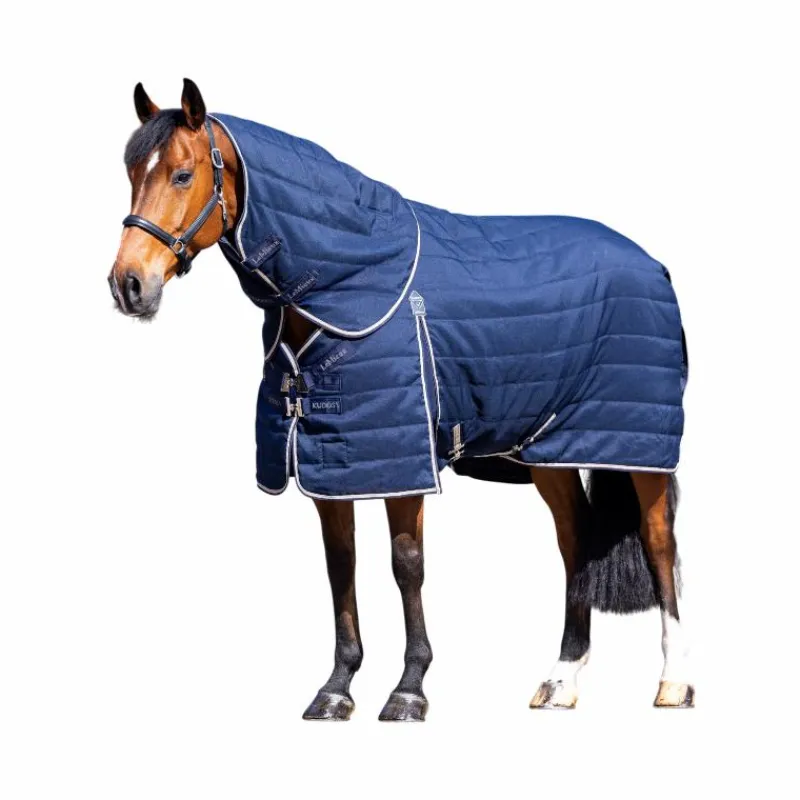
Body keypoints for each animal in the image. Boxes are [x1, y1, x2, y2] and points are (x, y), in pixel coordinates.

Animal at [109, 79, 692, 720]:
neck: (349, 284)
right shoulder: (332, 462)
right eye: (131, 171)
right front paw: (336, 688)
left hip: (638, 451)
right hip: (549, 453)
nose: (128, 284)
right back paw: (562, 680)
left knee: (659, 545)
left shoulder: (403, 458)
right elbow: (341, 564)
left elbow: (405, 564)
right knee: (576, 543)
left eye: (183, 175)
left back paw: (674, 682)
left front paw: (409, 688)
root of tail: (652, 264)